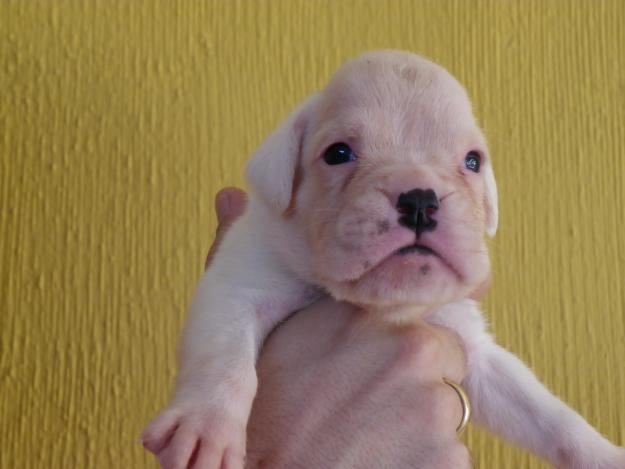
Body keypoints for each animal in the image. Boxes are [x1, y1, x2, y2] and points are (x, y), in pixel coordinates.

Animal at [143, 49, 624, 466]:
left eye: (473, 161)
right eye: (338, 153)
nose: (420, 200)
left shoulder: (474, 347)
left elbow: (547, 414)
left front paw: (602, 454)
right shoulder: (238, 288)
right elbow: (225, 360)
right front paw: (206, 427)